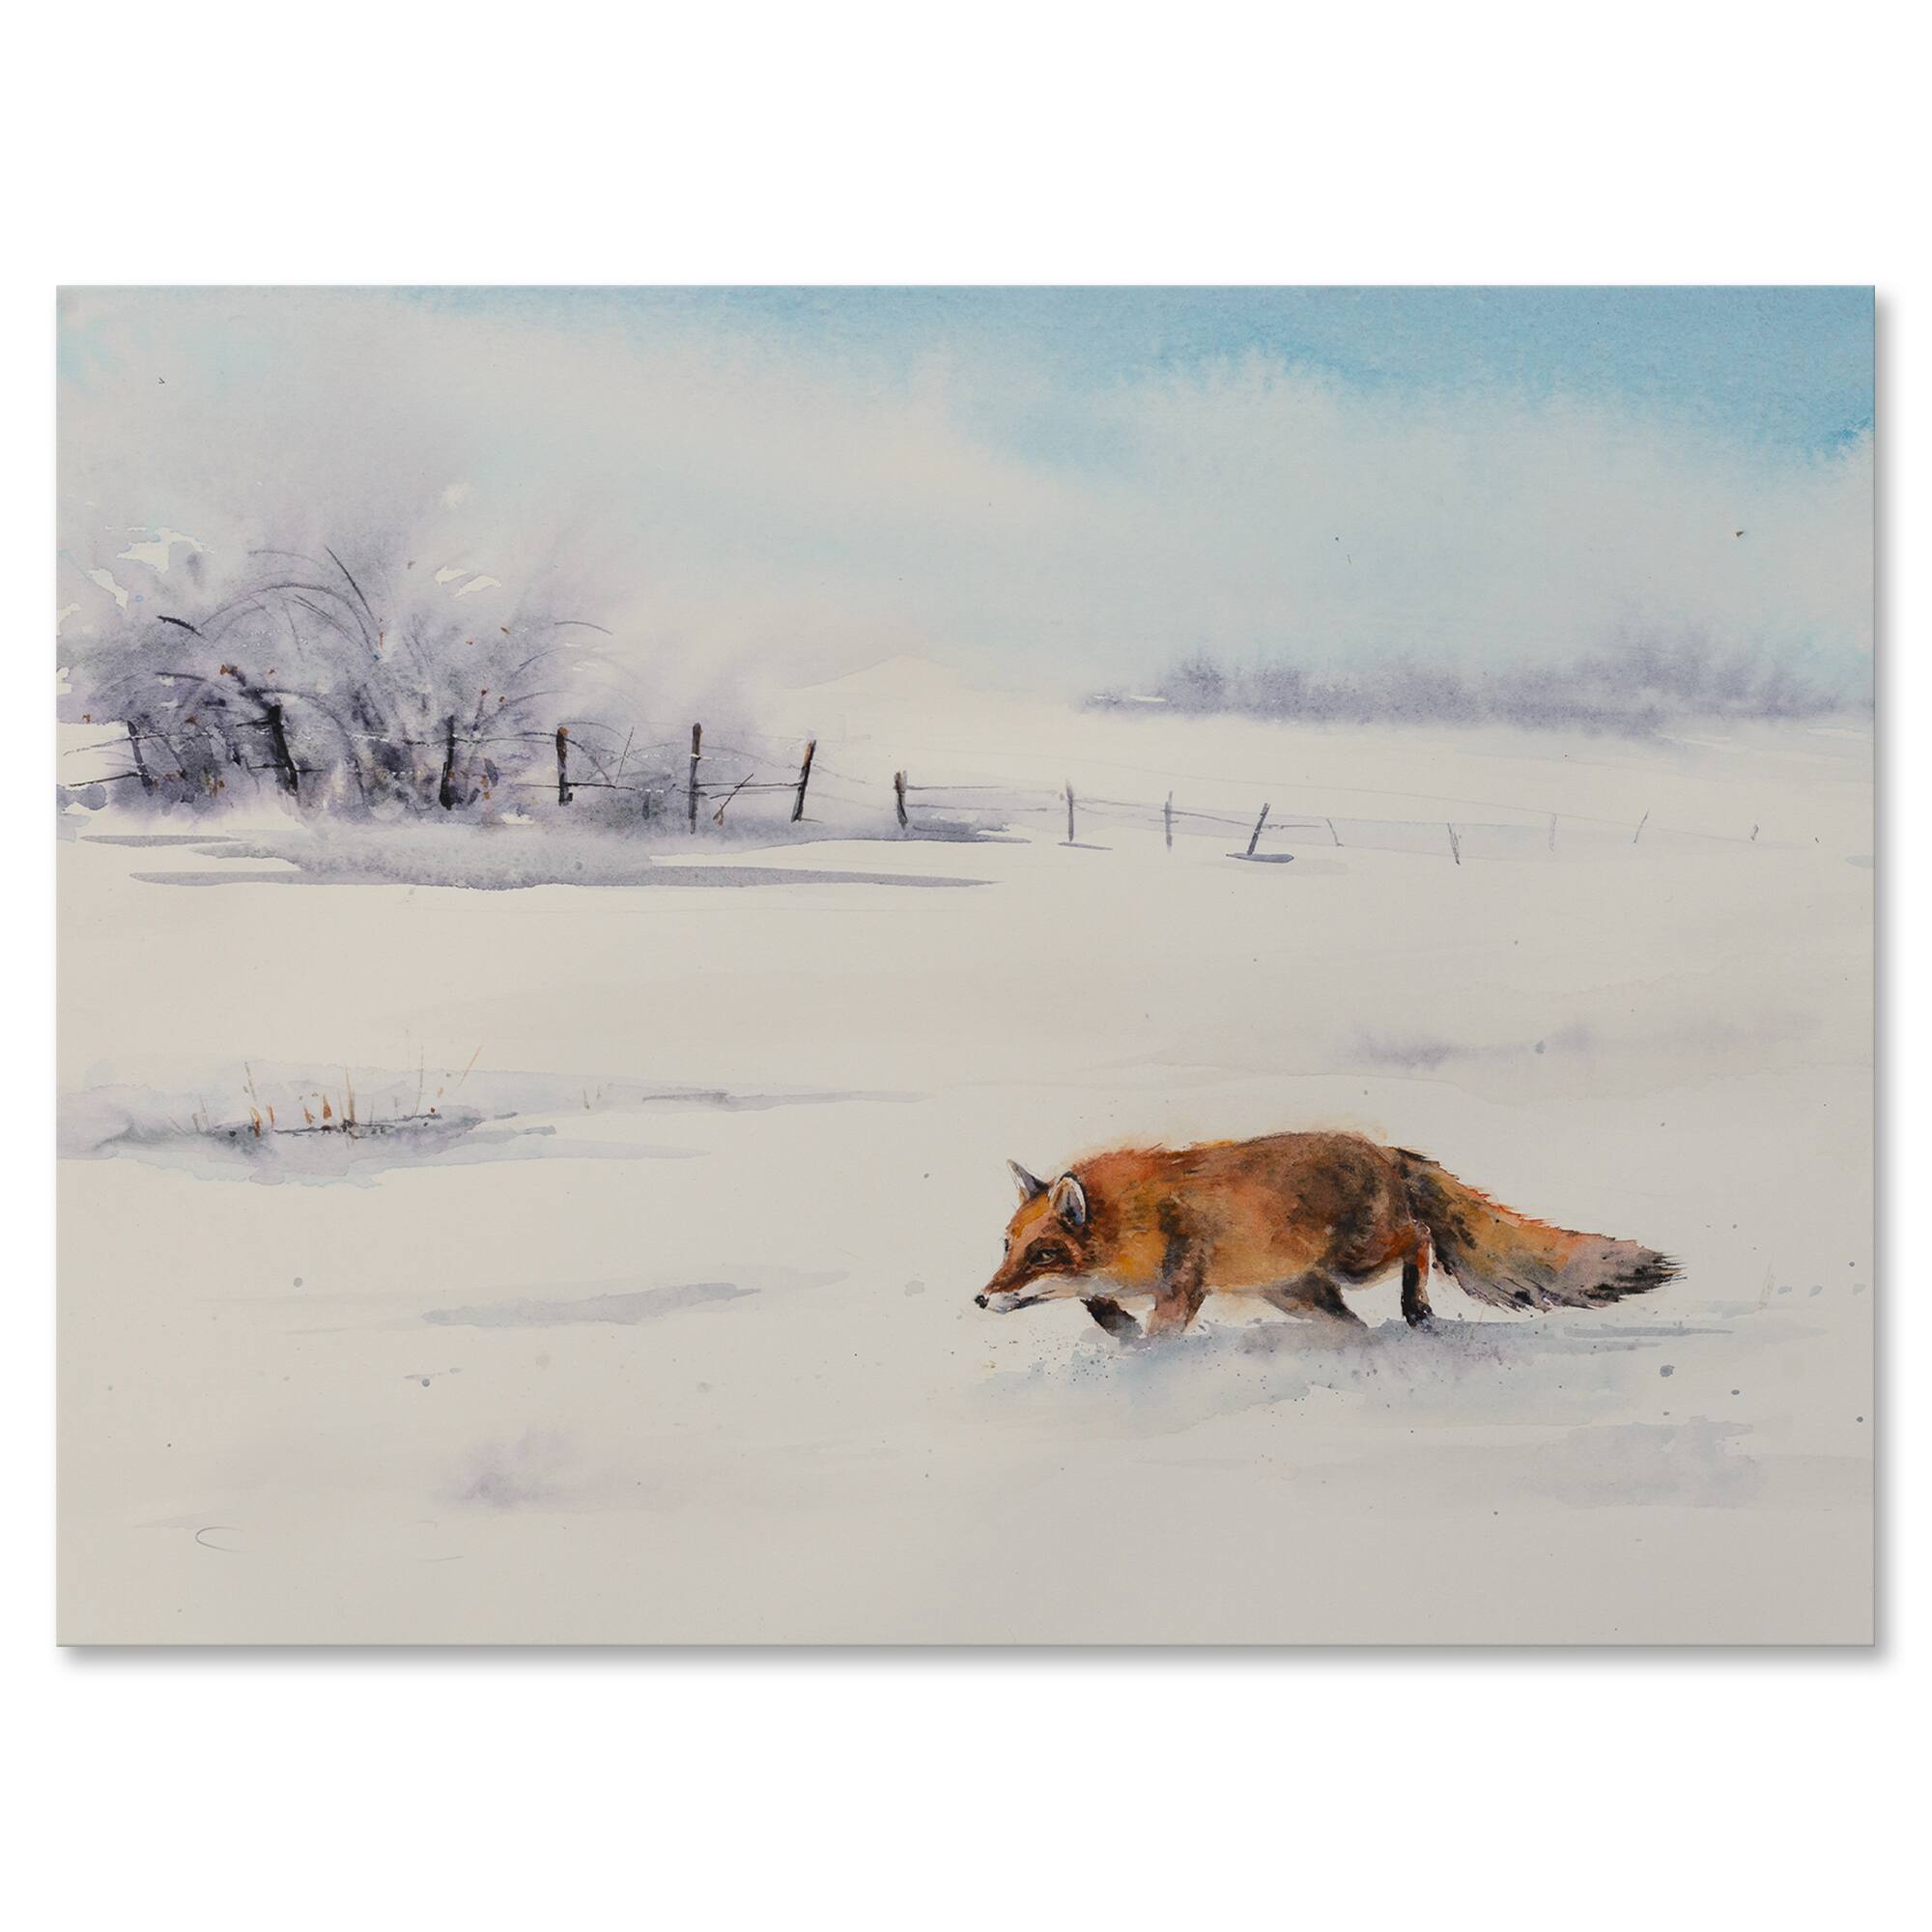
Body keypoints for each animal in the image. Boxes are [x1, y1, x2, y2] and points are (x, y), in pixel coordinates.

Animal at [975, 1131, 1675, 1341]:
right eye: (1006, 1247)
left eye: (1041, 1253)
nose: (981, 1298)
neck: (1140, 1218)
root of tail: (1387, 1151)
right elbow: (1099, 1307)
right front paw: (1117, 1330)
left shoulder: (1183, 1278)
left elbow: (1161, 1330)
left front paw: (1146, 1363)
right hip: (1300, 1292)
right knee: (1351, 1323)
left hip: (1356, 1261)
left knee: (1420, 1237)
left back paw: (1417, 1309)